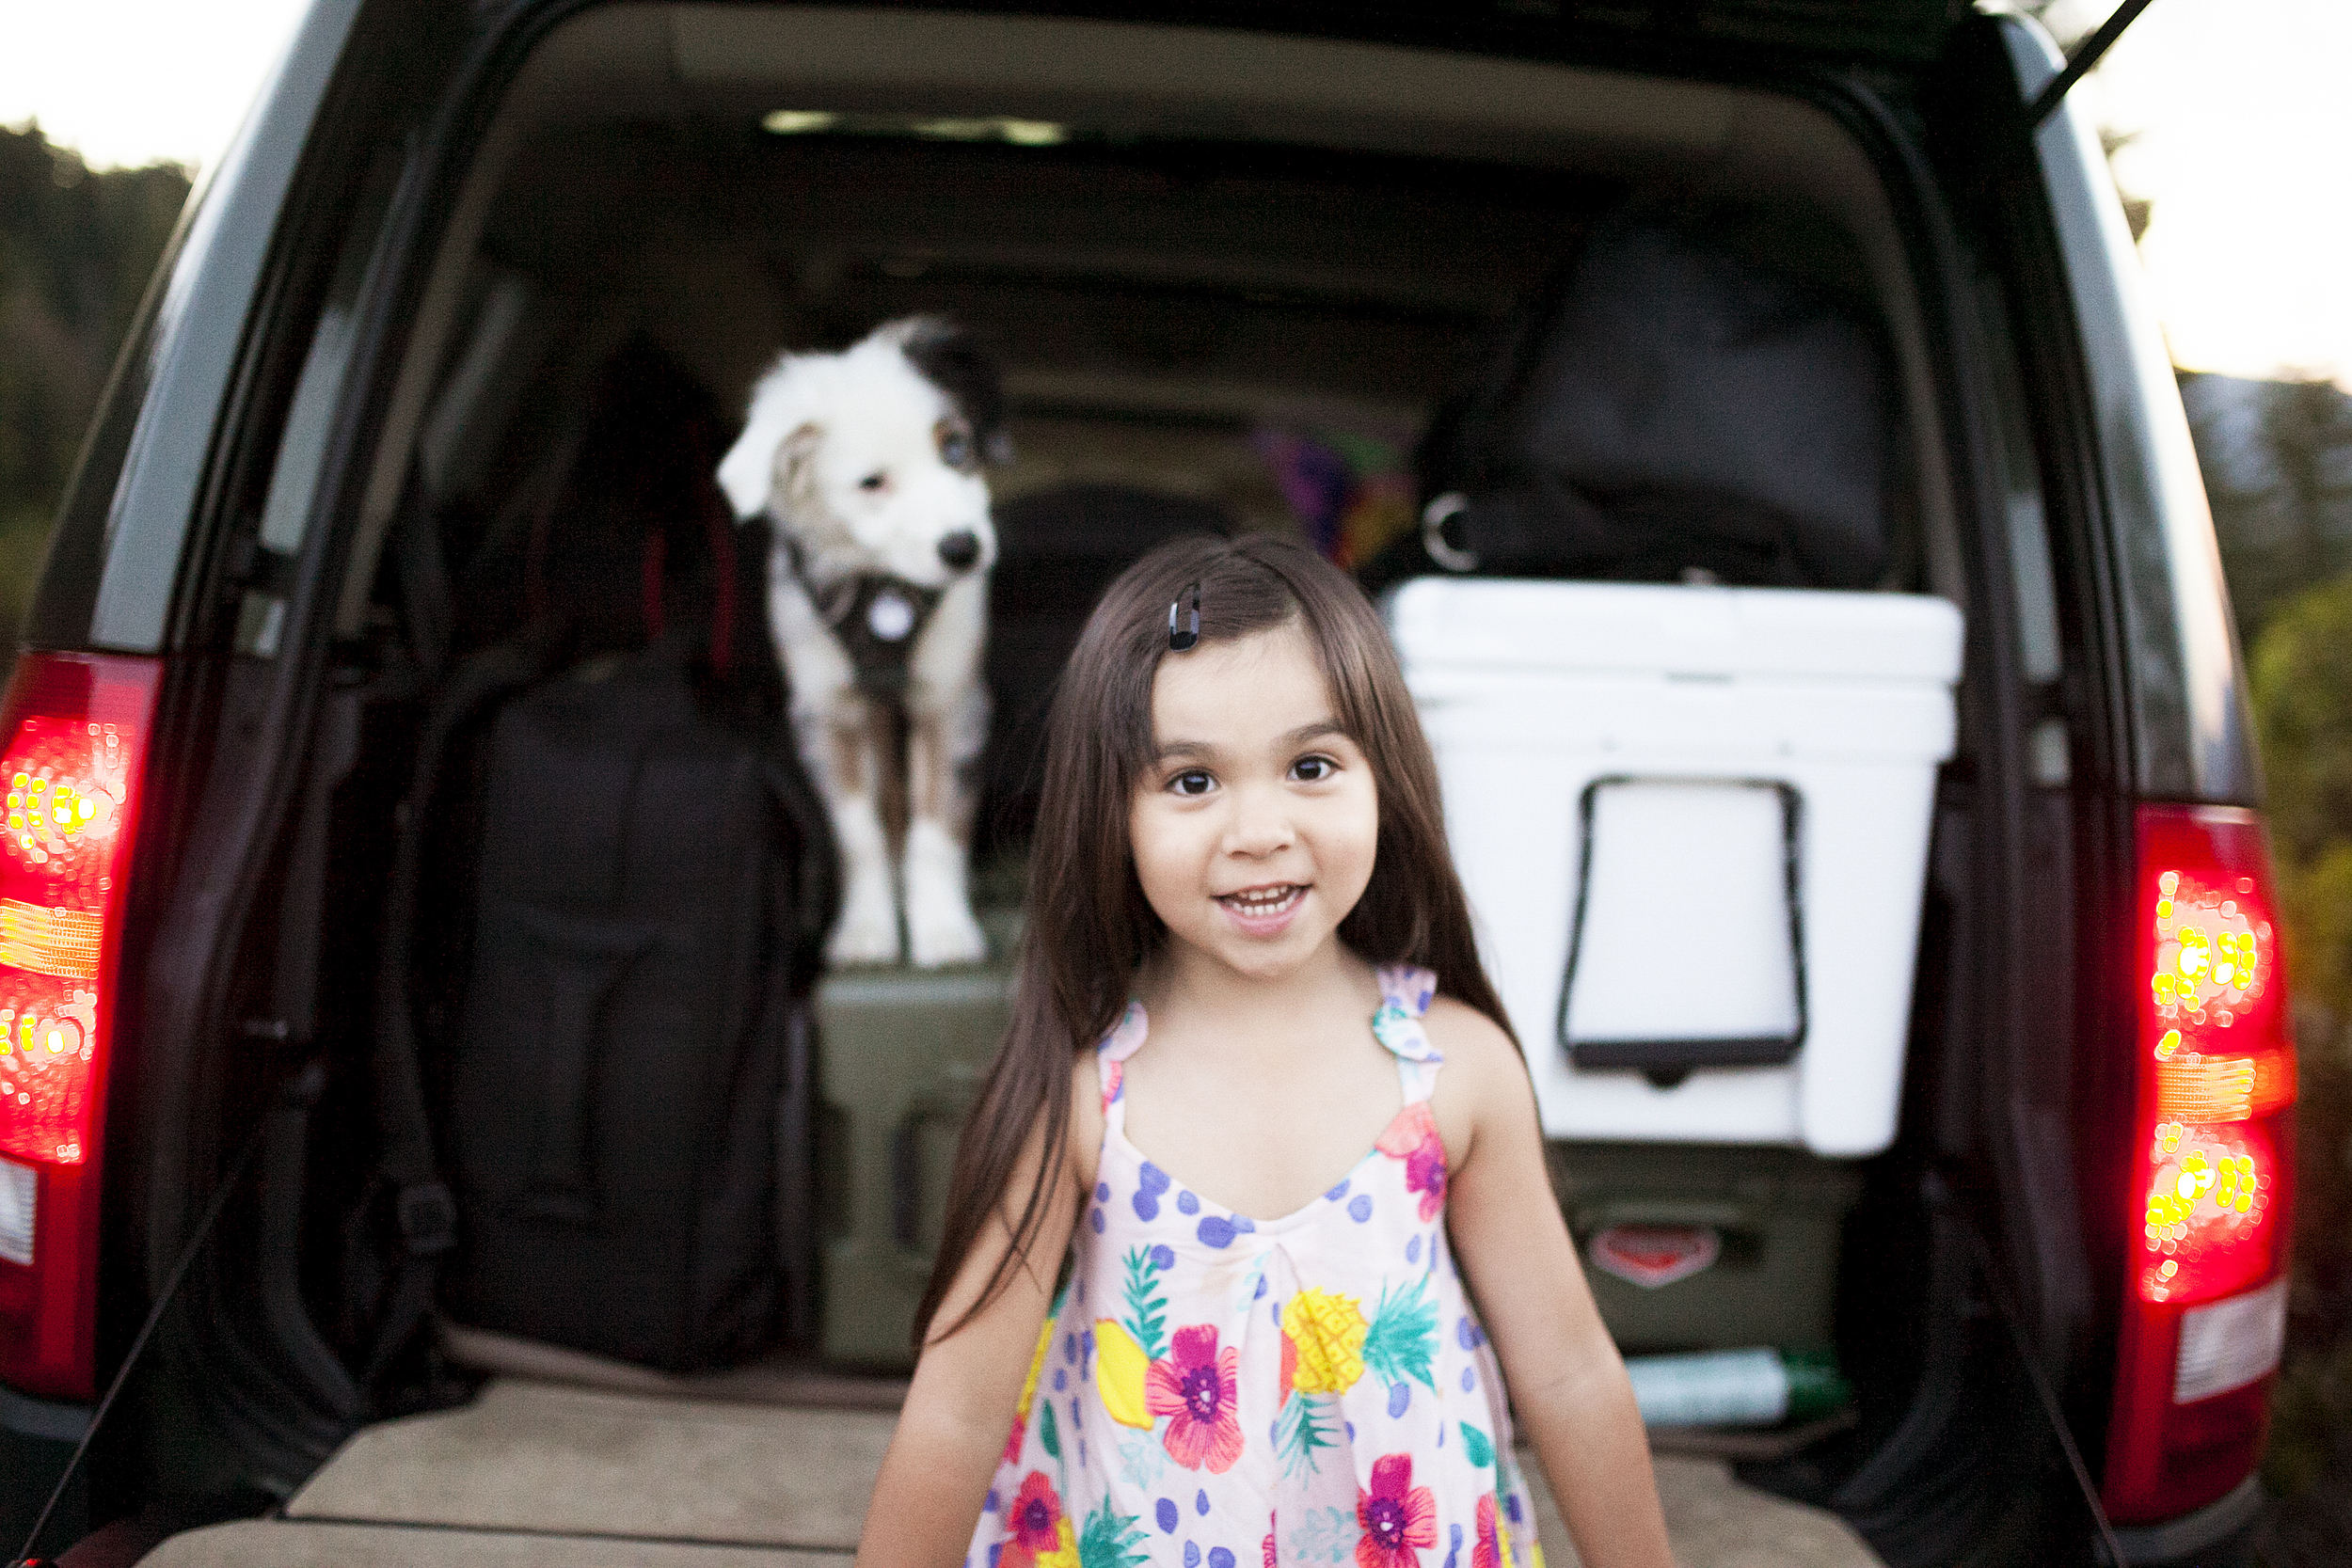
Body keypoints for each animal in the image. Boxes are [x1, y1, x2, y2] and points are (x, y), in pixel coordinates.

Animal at [715, 322, 1011, 968]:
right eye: (871, 484)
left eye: (956, 450)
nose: (963, 549)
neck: (884, 591)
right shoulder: (830, 714)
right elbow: (860, 836)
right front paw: (864, 931)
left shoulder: (950, 701)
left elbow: (937, 827)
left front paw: (943, 930)